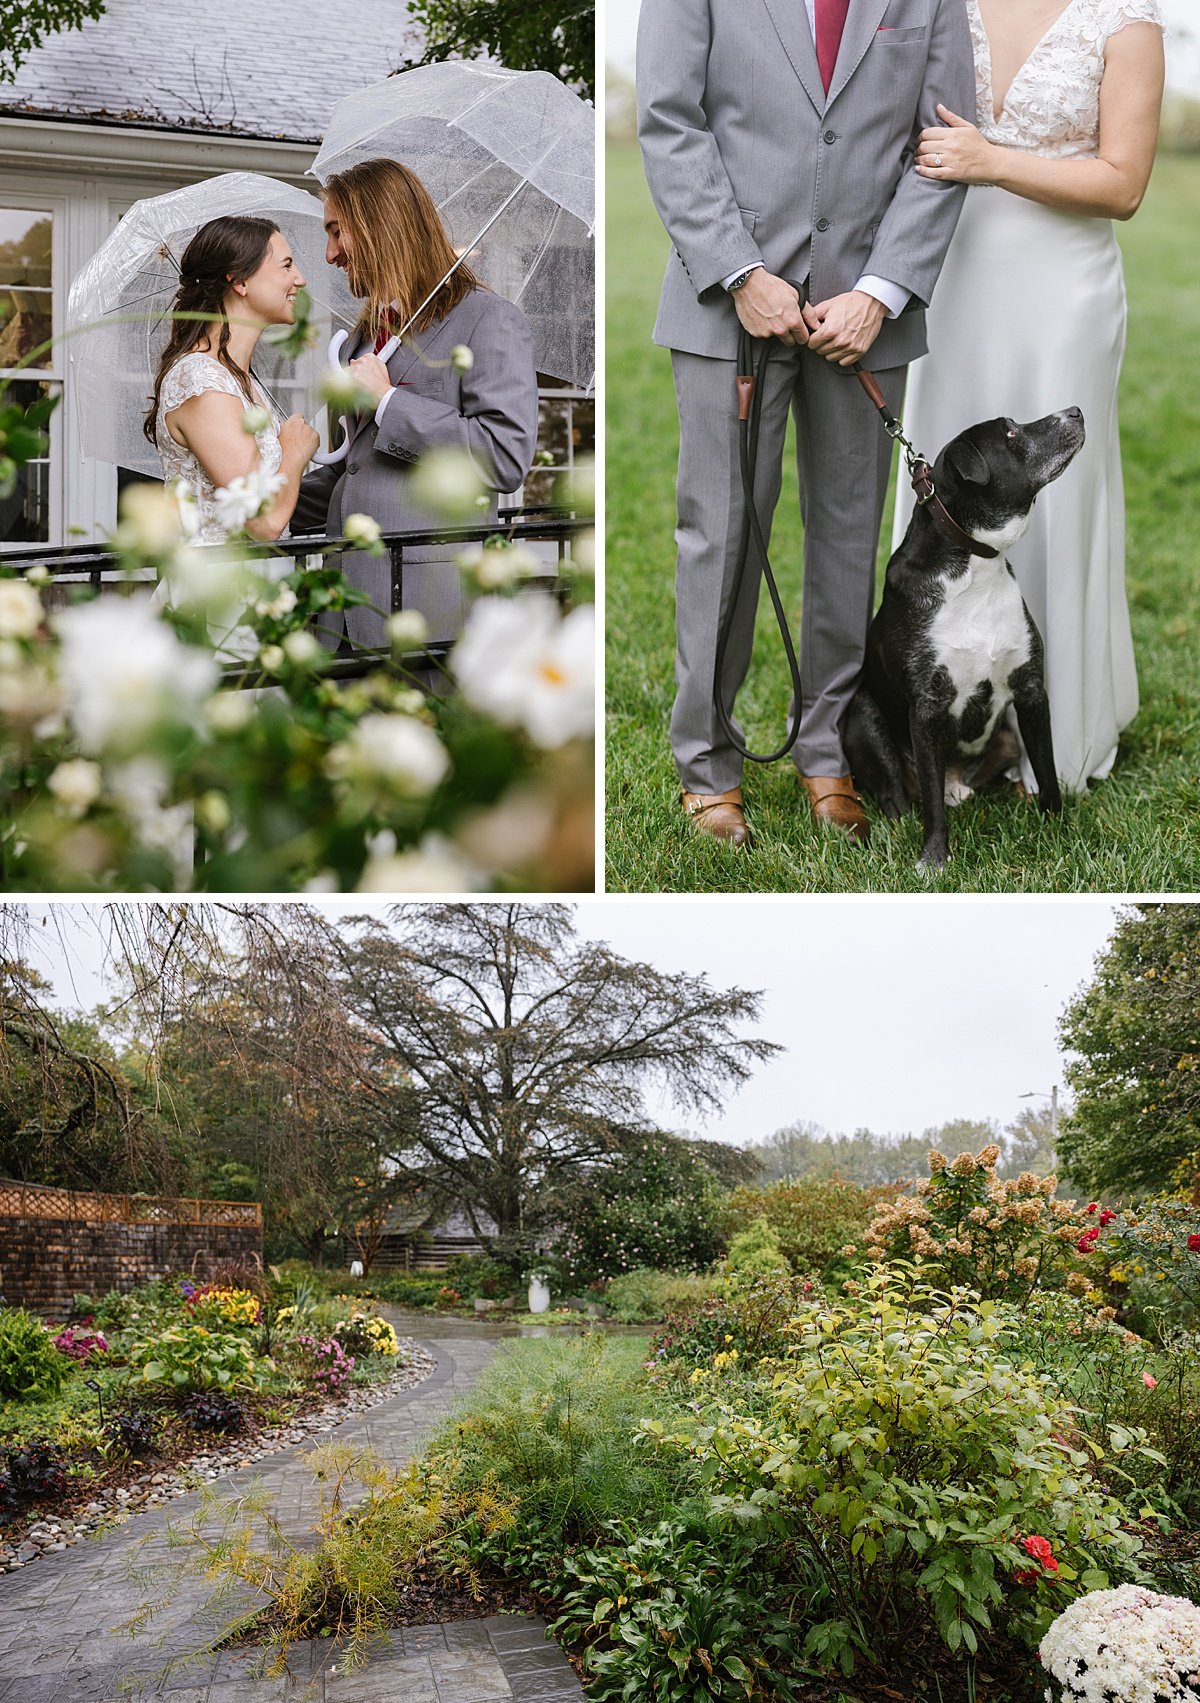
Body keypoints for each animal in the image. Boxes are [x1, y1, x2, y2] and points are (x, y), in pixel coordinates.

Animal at [844, 407, 1089, 871]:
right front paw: (934, 860)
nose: (1075, 411)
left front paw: (1057, 828)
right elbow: (932, 805)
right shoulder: (927, 707)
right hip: (862, 718)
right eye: (1010, 434)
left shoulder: (1031, 691)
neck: (976, 568)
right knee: (898, 793)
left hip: (1007, 738)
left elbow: (1047, 770)